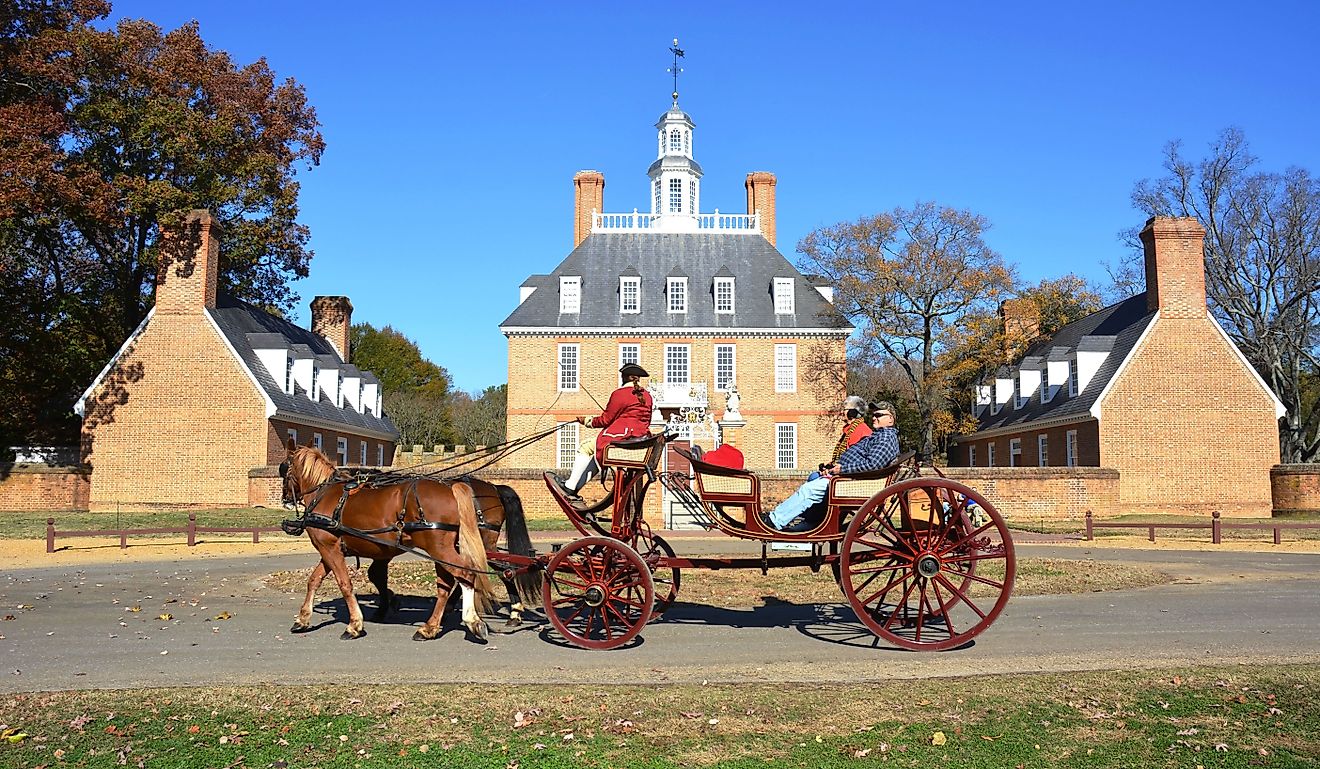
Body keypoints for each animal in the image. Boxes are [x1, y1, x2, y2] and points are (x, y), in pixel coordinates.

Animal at [283, 443, 541, 641]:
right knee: (456, 581)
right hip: (448, 548)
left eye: (284, 468)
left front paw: (355, 624)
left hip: (449, 547)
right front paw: (303, 618)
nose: (285, 498)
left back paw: (476, 619)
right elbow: (315, 580)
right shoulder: (336, 549)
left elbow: (345, 583)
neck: (327, 495)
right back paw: (435, 625)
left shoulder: (330, 547)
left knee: (473, 574)